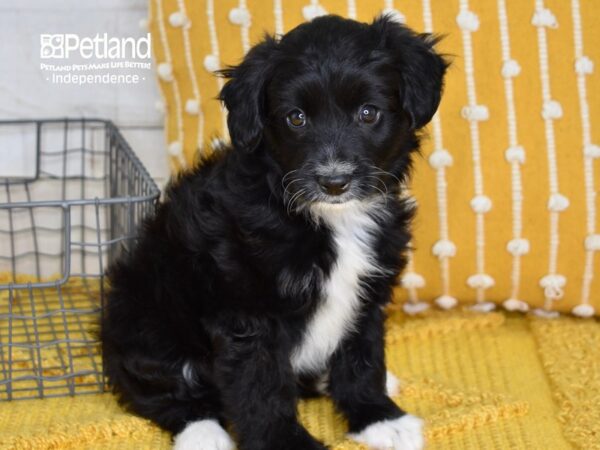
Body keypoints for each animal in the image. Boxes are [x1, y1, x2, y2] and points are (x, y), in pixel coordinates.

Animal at [101, 13, 446, 450]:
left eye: (369, 113)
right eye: (296, 118)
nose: (334, 182)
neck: (328, 219)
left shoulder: (366, 295)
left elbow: (363, 359)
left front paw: (378, 418)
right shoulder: (247, 313)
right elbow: (261, 387)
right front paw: (286, 442)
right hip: (148, 322)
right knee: (160, 392)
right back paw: (203, 431)